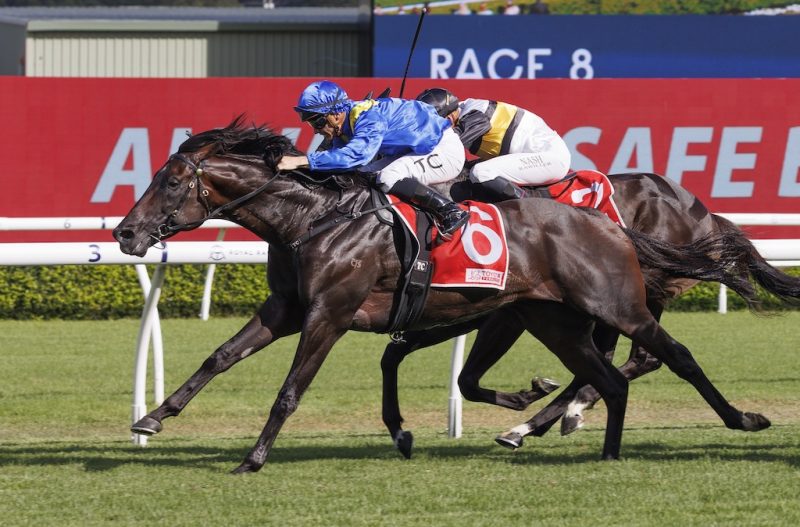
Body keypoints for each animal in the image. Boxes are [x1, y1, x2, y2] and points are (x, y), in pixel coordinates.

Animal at [381, 174, 800, 457]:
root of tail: (703, 211)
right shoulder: (460, 307)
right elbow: (401, 354)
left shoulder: (506, 312)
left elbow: (466, 376)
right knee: (630, 359)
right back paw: (543, 421)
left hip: (632, 294)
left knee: (633, 358)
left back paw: (557, 415)